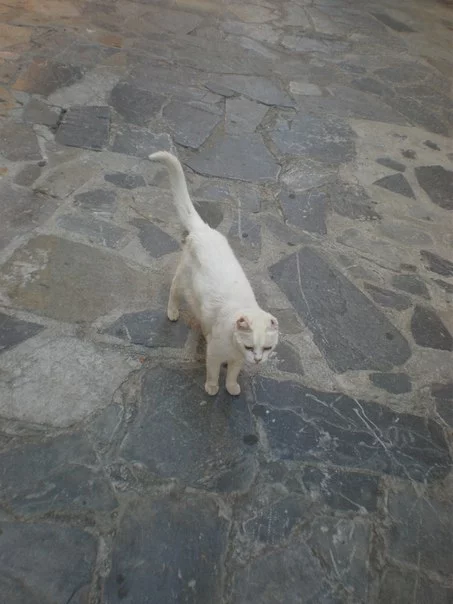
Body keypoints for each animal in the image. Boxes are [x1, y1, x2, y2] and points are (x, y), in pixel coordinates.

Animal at [148, 151, 279, 396]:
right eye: (250, 346)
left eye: (267, 348)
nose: (257, 360)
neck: (235, 350)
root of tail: (204, 229)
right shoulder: (214, 354)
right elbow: (212, 371)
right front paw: (212, 387)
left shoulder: (237, 360)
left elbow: (233, 374)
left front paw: (232, 387)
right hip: (183, 280)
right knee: (173, 291)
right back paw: (172, 312)